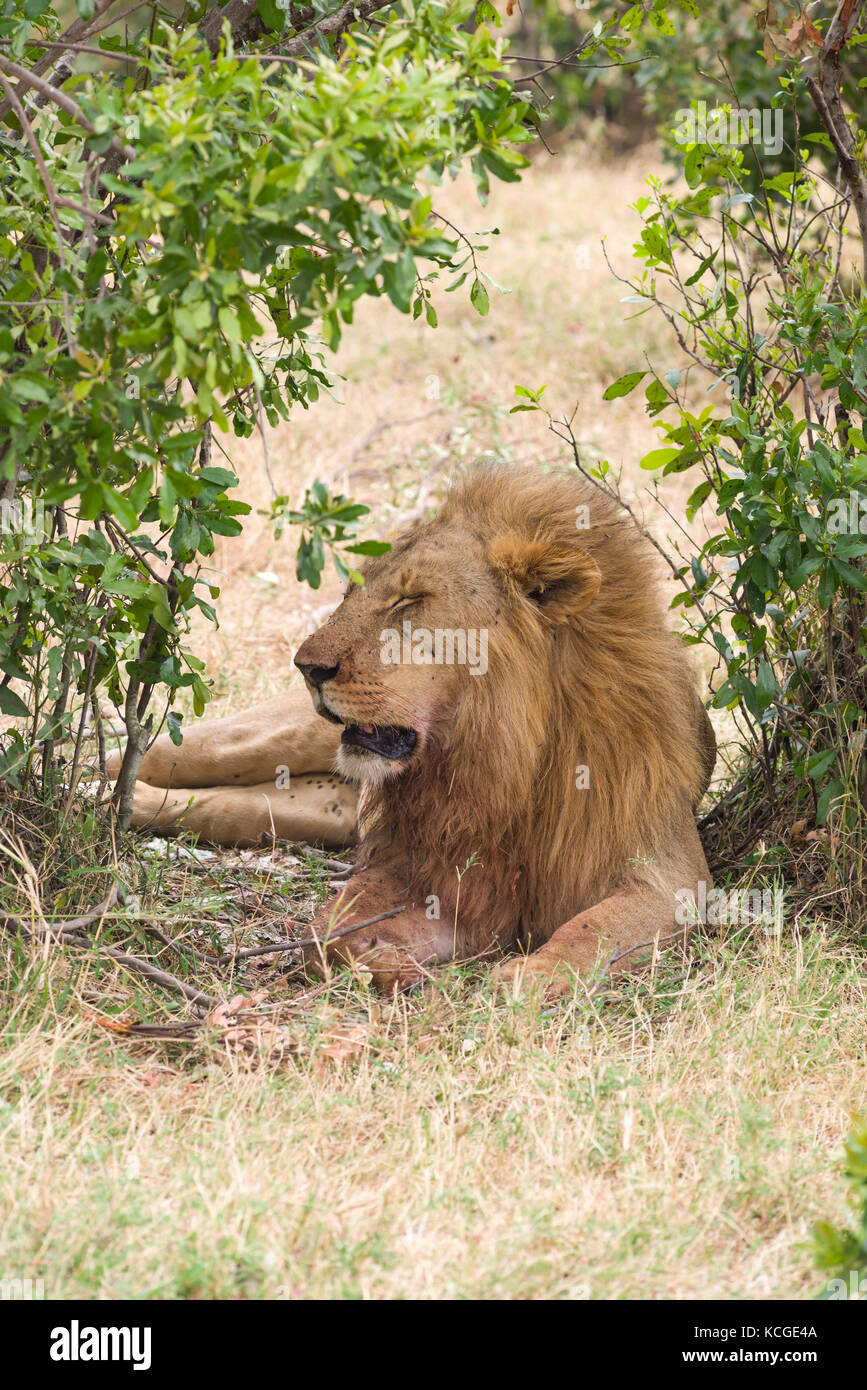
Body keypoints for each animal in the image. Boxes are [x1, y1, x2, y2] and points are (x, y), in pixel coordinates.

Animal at [116, 467, 711, 989]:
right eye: (349, 593)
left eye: (409, 601)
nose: (306, 667)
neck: (502, 755)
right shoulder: (432, 868)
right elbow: (329, 926)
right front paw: (385, 966)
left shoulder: (674, 876)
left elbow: (593, 930)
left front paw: (529, 978)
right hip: (269, 741)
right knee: (171, 751)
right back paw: (110, 787)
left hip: (322, 811)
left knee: (230, 808)